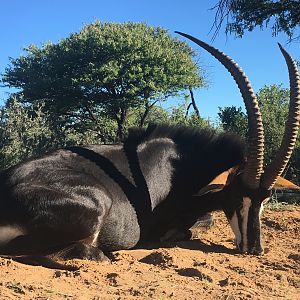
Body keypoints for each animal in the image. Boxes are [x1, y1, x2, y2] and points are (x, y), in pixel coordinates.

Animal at [0, 33, 298, 268]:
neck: (179, 168)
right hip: (96, 204)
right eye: (237, 198)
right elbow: (189, 230)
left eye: (265, 199)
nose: (255, 249)